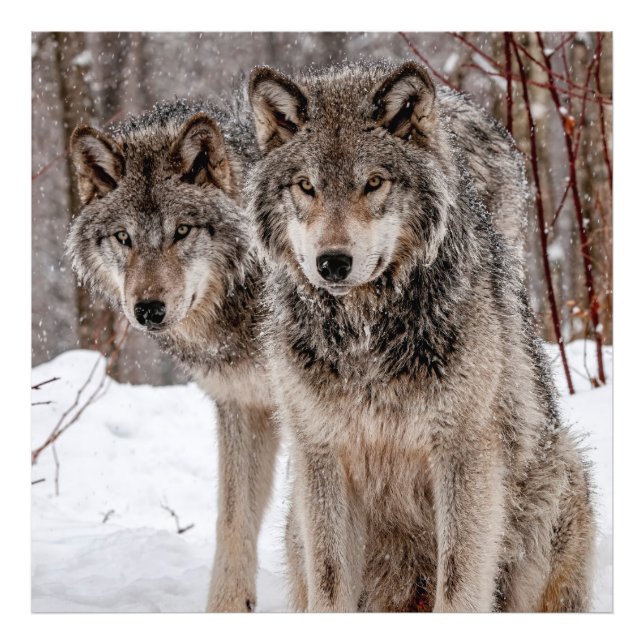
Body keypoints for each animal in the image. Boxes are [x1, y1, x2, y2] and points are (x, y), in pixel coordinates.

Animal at [246, 60, 595, 612]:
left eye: (373, 183)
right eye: (306, 186)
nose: (332, 262)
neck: (365, 335)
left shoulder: (463, 452)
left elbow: (459, 585)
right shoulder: (320, 454)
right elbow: (330, 585)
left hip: (556, 480)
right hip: (297, 522)